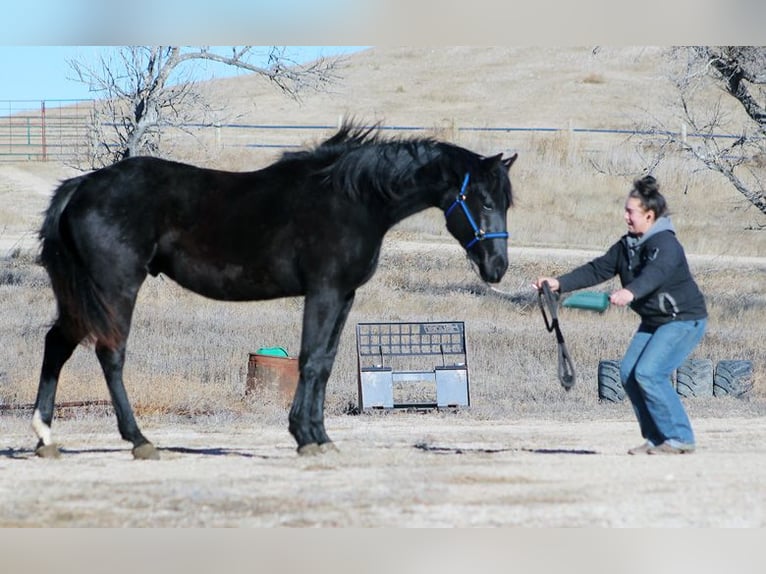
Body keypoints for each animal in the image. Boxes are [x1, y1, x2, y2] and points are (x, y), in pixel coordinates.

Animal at [33, 122, 517, 459]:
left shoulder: (343, 297)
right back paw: (139, 441)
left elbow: (324, 362)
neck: (352, 199)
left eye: (506, 203)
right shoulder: (323, 291)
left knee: (56, 344)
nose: (496, 268)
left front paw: (318, 435)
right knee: (110, 354)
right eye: (483, 201)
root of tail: (83, 186)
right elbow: (310, 360)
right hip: (115, 287)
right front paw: (307, 437)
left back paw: (45, 439)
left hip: (83, 295)